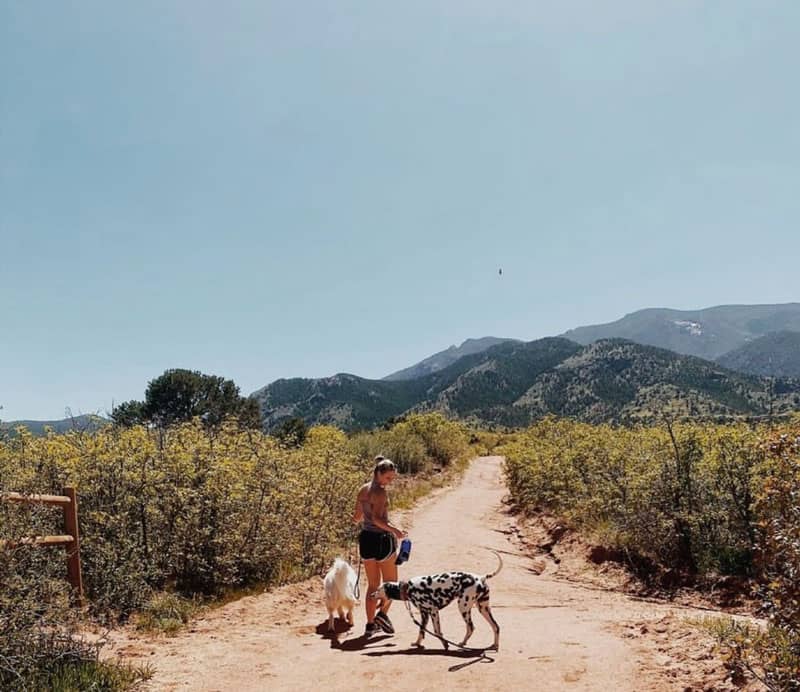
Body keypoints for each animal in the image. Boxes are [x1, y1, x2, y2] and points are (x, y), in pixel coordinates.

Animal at [368, 552, 500, 648]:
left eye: (379, 589)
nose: (371, 595)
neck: (408, 588)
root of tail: (481, 578)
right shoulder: (425, 614)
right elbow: (422, 631)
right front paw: (417, 643)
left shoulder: (433, 611)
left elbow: (436, 631)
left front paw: (445, 644)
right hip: (483, 608)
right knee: (496, 626)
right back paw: (494, 645)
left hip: (463, 608)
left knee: (471, 627)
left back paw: (462, 643)